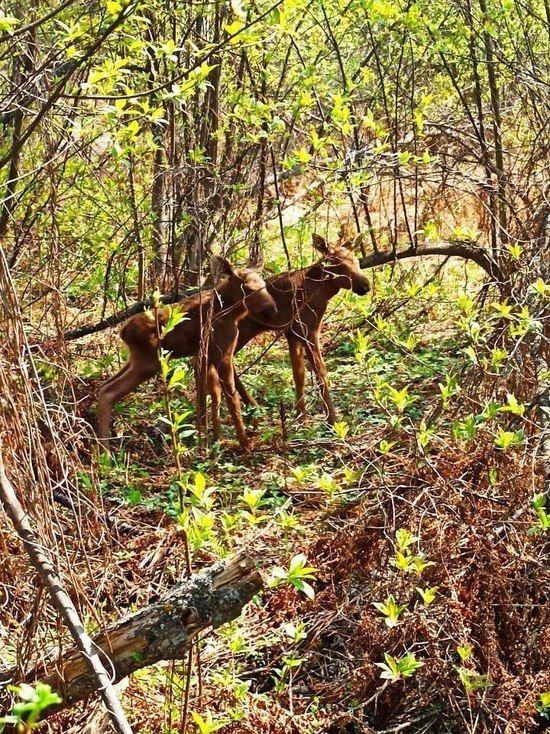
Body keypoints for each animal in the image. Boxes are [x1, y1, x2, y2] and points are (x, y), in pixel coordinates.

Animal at [97, 258, 278, 454]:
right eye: (247, 288)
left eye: (264, 285)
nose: (272, 310)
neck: (232, 312)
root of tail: (123, 332)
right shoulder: (221, 353)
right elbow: (231, 398)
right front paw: (243, 442)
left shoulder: (203, 356)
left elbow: (213, 395)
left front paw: (216, 439)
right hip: (149, 362)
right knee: (109, 391)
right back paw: (105, 452)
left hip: (135, 360)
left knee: (104, 387)